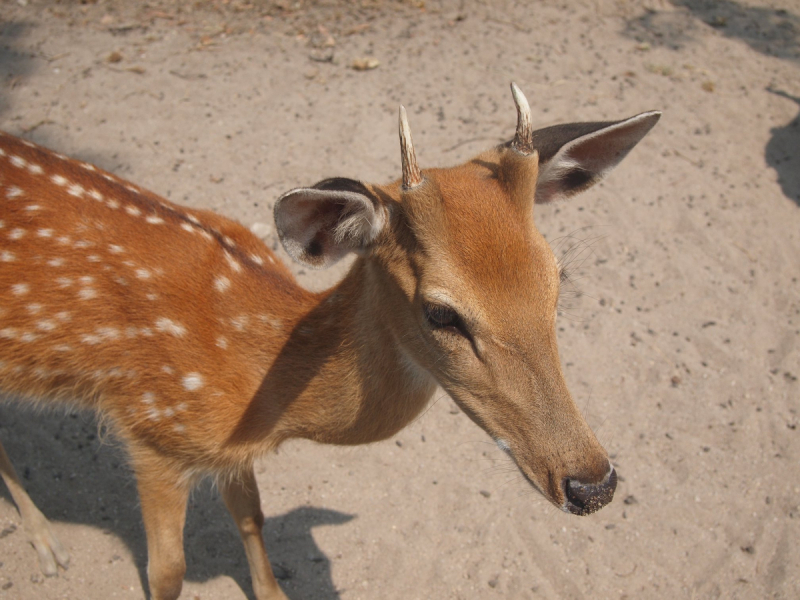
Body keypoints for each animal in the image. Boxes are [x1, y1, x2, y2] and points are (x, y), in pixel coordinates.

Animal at [0, 85, 660, 600]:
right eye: (441, 313)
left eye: (557, 277)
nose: (594, 484)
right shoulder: (154, 431)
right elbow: (168, 574)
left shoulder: (226, 452)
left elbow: (252, 516)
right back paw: (46, 543)